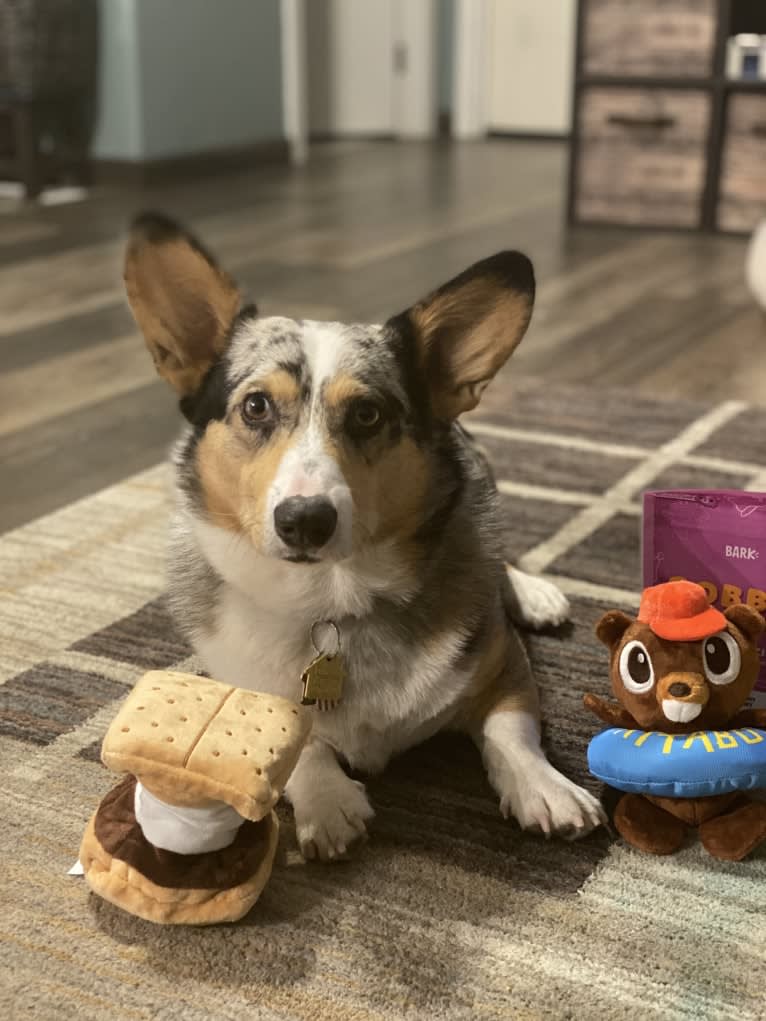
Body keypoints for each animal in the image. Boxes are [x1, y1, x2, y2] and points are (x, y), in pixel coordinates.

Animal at [124, 213, 604, 861]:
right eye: (256, 406)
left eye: (369, 414)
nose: (305, 519)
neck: (333, 603)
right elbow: (295, 740)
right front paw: (328, 802)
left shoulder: (504, 666)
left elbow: (512, 729)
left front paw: (545, 789)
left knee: (498, 553)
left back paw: (534, 593)